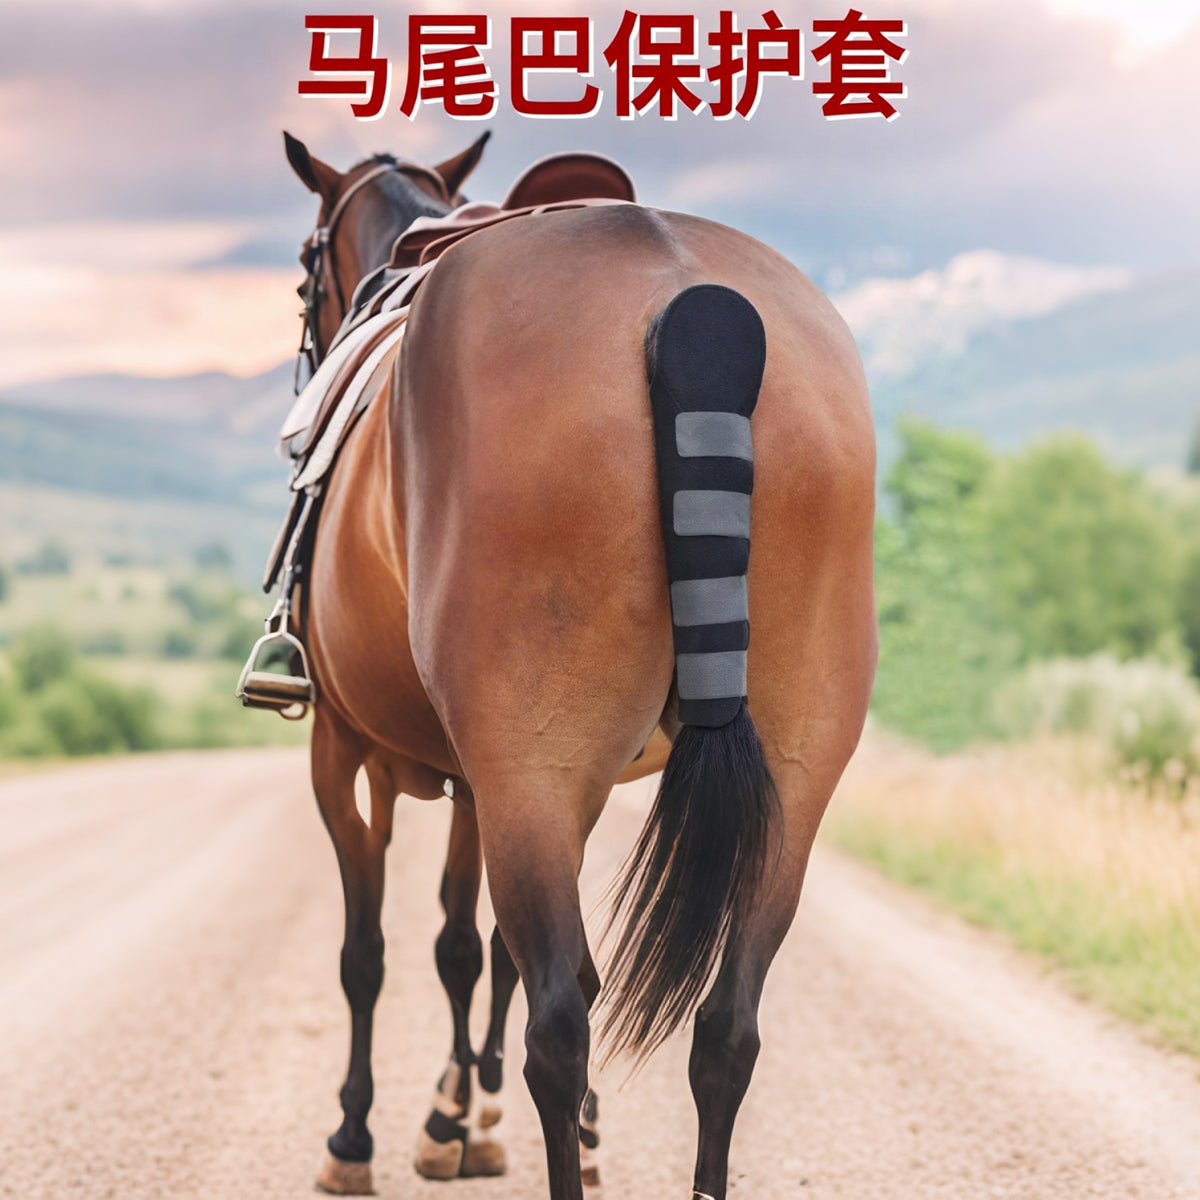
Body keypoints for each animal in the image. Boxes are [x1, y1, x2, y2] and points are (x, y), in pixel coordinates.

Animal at [280, 130, 876, 1200]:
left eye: (307, 269)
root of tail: (693, 301)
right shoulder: (493, 779)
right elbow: (465, 945)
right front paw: (460, 1112)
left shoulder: (352, 755)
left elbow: (375, 953)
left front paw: (364, 1133)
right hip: (790, 772)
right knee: (726, 1027)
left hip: (529, 764)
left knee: (560, 1018)